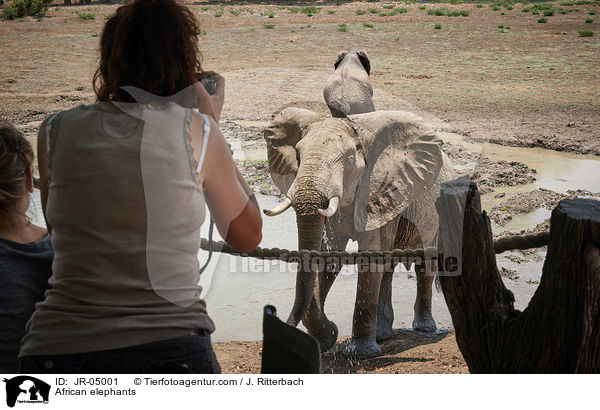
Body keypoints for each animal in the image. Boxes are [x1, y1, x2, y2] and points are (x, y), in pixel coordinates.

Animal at [262, 107, 454, 358]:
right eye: (298, 156)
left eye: (349, 159)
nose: (280, 320)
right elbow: (329, 258)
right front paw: (328, 338)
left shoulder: (381, 188)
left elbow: (370, 258)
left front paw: (360, 352)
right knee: (388, 268)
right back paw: (383, 334)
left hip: (436, 213)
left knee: (425, 264)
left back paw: (424, 329)